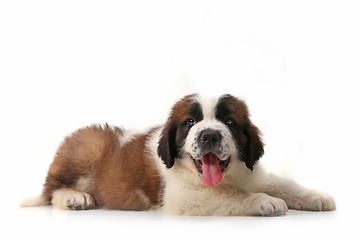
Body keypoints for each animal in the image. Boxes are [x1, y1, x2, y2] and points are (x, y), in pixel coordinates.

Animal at [21, 93, 336, 216]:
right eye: (190, 122)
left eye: (229, 121)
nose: (209, 135)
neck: (228, 175)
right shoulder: (182, 196)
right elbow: (230, 196)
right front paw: (265, 201)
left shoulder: (252, 173)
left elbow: (284, 184)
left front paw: (316, 196)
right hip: (88, 149)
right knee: (52, 191)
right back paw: (76, 199)